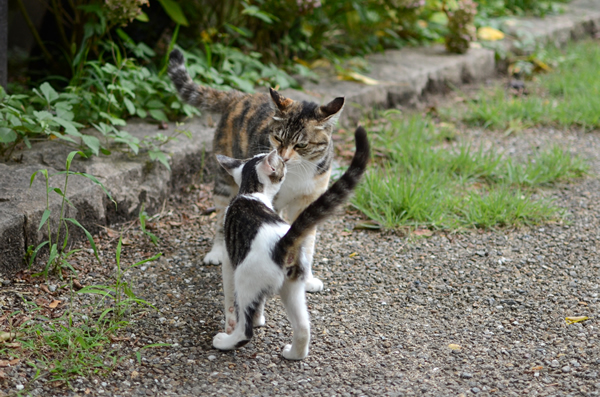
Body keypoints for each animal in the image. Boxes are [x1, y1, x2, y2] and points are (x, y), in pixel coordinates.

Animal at [169, 49, 346, 296]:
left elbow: (306, 242)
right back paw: (217, 252)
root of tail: (239, 96)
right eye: (278, 138)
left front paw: (307, 279)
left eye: (301, 145)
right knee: (220, 219)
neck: (298, 171)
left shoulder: (309, 198)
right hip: (224, 181)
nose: (283, 157)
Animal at [211, 127, 370, 358]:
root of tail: (282, 243)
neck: (250, 192)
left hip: (246, 279)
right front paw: (260, 318)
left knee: (245, 330)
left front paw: (233, 322)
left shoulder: (229, 259)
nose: (284, 161)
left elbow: (229, 297)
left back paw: (225, 341)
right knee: (303, 327)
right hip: (293, 287)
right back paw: (294, 354)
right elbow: (261, 303)